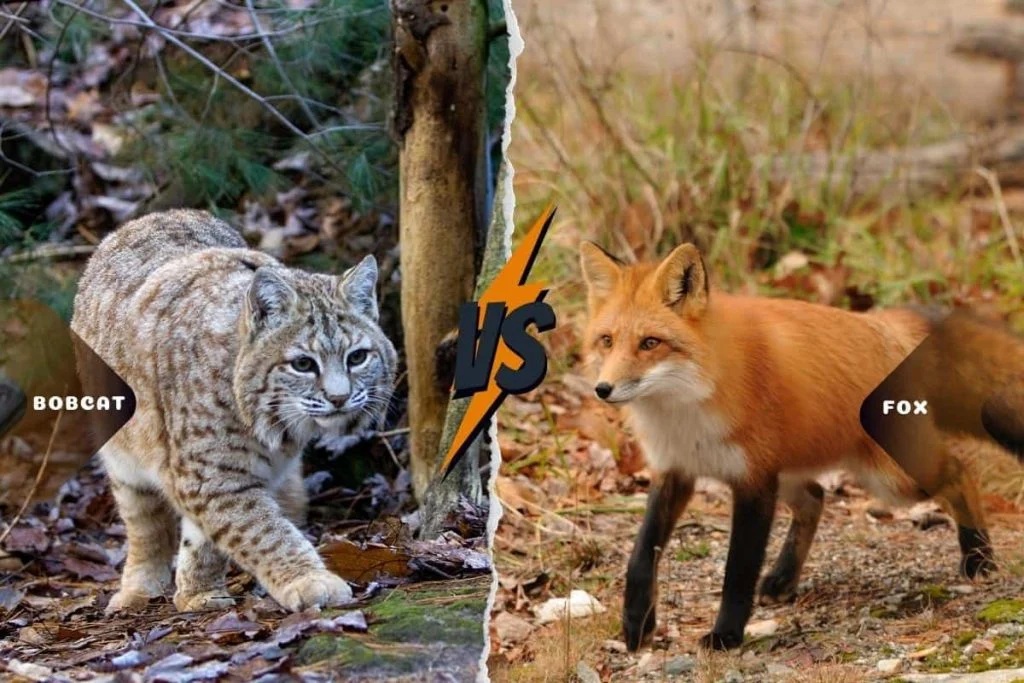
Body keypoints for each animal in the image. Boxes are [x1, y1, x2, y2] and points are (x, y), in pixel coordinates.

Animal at [579, 240, 1024, 652]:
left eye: (650, 343)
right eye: (607, 340)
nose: (603, 389)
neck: (685, 408)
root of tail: (883, 323)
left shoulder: (754, 480)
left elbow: (738, 570)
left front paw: (726, 635)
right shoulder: (676, 470)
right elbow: (641, 555)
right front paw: (637, 623)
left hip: (894, 478)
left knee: (961, 473)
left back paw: (979, 558)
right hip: (796, 471)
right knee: (815, 497)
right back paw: (783, 578)